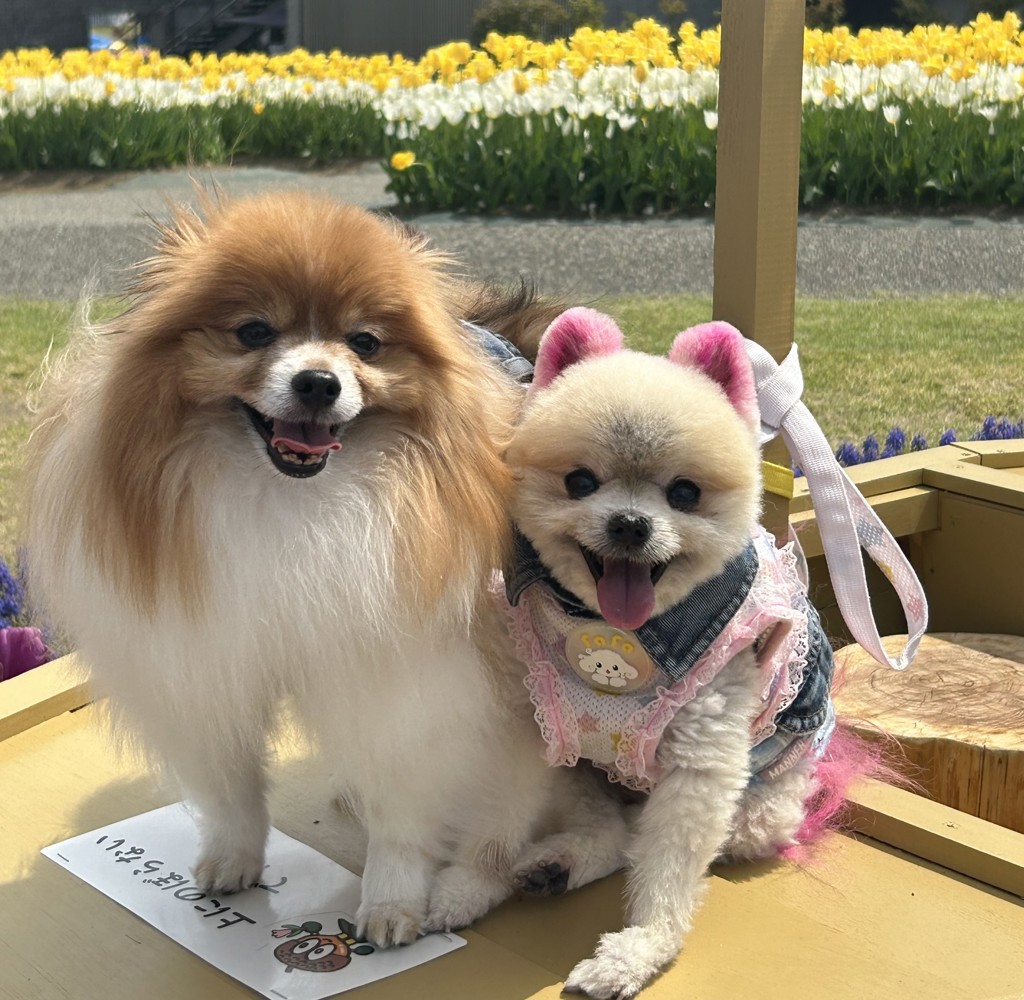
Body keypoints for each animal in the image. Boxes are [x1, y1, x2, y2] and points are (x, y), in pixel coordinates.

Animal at [22, 194, 628, 946]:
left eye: (363, 343)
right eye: (254, 332)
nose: (317, 381)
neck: (292, 505)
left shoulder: (411, 682)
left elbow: (404, 811)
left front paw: (393, 902)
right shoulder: (206, 657)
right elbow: (231, 788)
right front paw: (234, 859)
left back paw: (529, 869)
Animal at [498, 307, 850, 997]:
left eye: (684, 493)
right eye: (580, 481)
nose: (630, 523)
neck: (620, 636)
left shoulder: (700, 764)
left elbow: (667, 869)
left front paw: (639, 950)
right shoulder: (557, 736)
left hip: (762, 806)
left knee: (664, 834)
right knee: (619, 829)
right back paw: (559, 862)